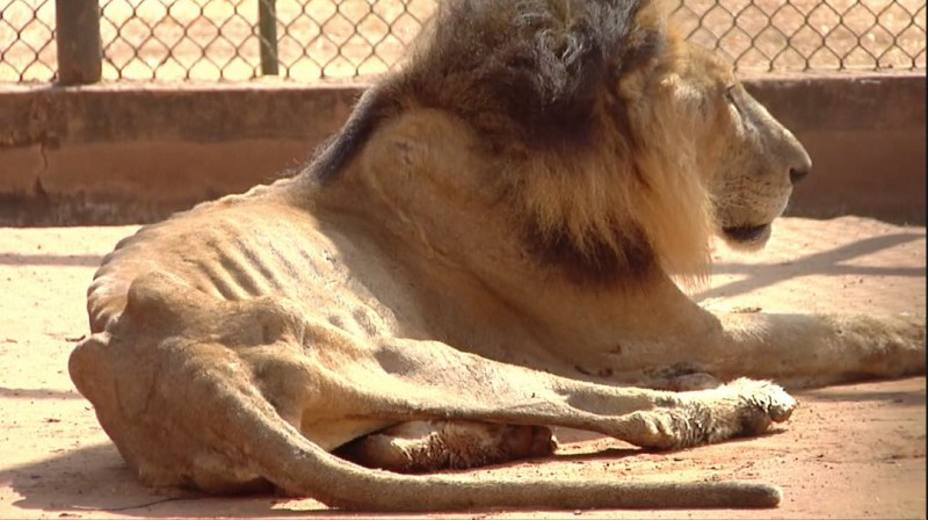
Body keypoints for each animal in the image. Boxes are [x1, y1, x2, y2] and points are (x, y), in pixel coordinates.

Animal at [69, 0, 924, 512]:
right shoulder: (664, 331)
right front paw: (907, 333)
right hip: (410, 350)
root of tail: (184, 371)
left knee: (401, 439)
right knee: (624, 412)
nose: (805, 168)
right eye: (729, 94)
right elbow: (826, 326)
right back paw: (739, 399)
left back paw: (500, 441)